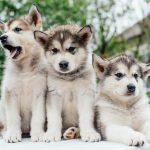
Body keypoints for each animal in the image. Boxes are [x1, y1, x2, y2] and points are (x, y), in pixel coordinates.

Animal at [0, 4, 47, 143]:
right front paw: (13, 135)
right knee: (2, 127)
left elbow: (38, 117)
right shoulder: (10, 93)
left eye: (17, 29)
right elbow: (13, 117)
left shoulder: (39, 93)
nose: (2, 38)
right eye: (4, 32)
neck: (25, 69)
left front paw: (38, 134)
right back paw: (6, 133)